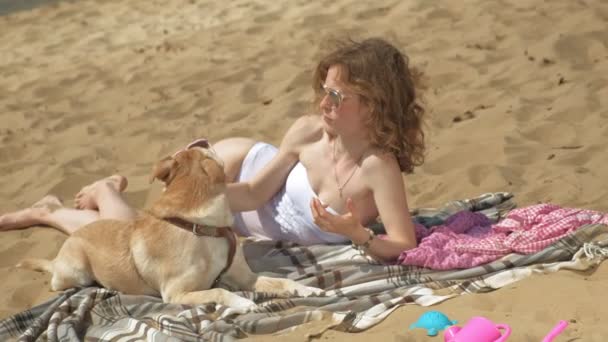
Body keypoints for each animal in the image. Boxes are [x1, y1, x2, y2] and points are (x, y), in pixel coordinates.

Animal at [20, 144, 318, 310]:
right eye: (207, 151)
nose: (204, 140)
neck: (197, 227)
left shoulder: (246, 278)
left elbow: (282, 281)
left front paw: (309, 290)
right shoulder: (176, 294)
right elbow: (219, 290)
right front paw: (244, 303)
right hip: (75, 273)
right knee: (57, 280)